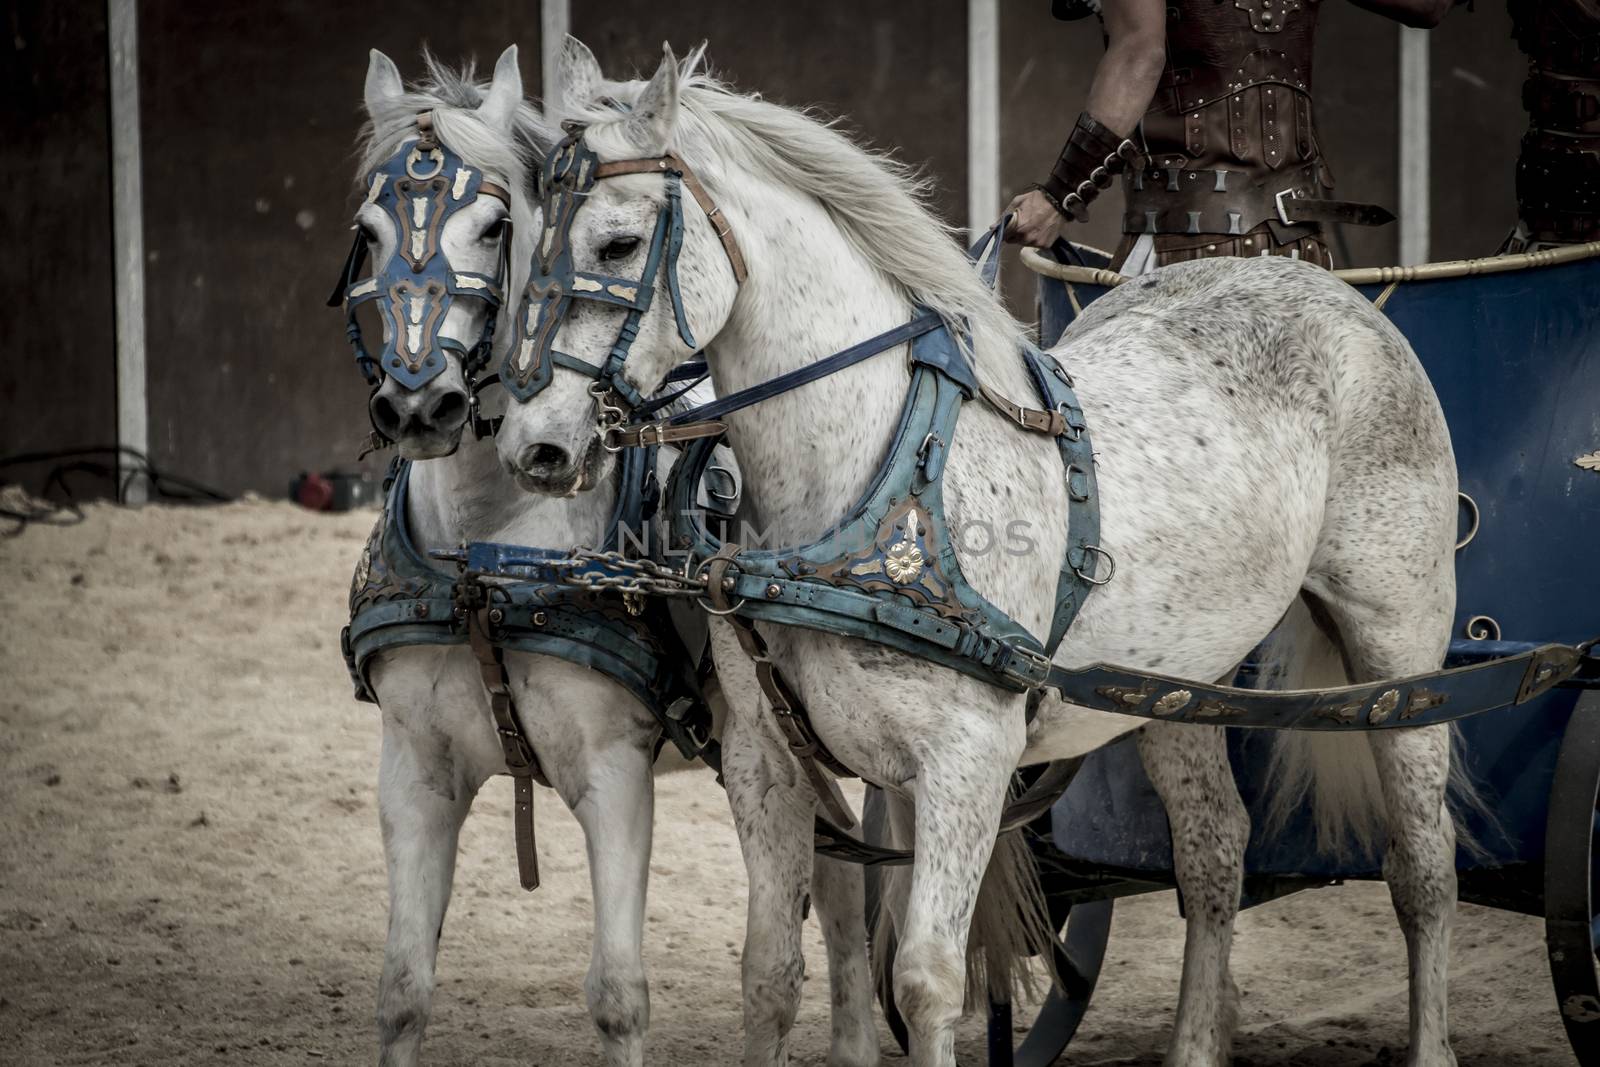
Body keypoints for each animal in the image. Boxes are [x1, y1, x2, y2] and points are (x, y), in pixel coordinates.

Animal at [345, 49, 876, 1067]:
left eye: (495, 225)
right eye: (368, 229)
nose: (419, 404)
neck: (489, 554)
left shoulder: (614, 771)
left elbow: (619, 996)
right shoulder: (414, 770)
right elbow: (399, 991)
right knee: (837, 874)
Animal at [492, 39, 1465, 1067]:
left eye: (617, 246)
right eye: (527, 241)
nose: (534, 446)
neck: (868, 477)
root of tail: (1332, 294)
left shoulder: (967, 756)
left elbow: (926, 977)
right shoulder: (766, 759)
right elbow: (768, 972)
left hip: (1399, 648)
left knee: (1423, 862)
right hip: (1177, 684)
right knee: (1212, 853)